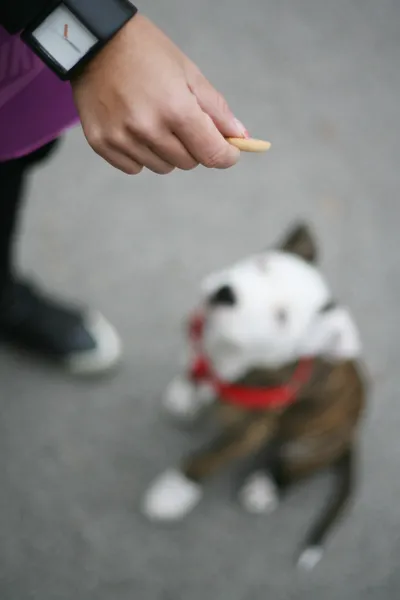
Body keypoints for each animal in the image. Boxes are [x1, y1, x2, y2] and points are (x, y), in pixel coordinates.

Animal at [141, 224, 366, 568]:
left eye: (282, 317)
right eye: (262, 265)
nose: (226, 293)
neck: (228, 353)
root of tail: (351, 434)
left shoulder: (251, 432)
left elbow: (208, 459)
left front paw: (175, 491)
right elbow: (195, 371)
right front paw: (186, 395)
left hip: (314, 441)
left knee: (300, 468)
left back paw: (266, 488)